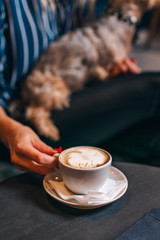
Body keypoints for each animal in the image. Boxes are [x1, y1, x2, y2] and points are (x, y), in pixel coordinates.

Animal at [9, 0, 160, 141]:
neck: (121, 17)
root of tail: (23, 91)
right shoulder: (107, 65)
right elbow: (104, 73)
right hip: (56, 86)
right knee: (34, 111)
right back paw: (49, 130)